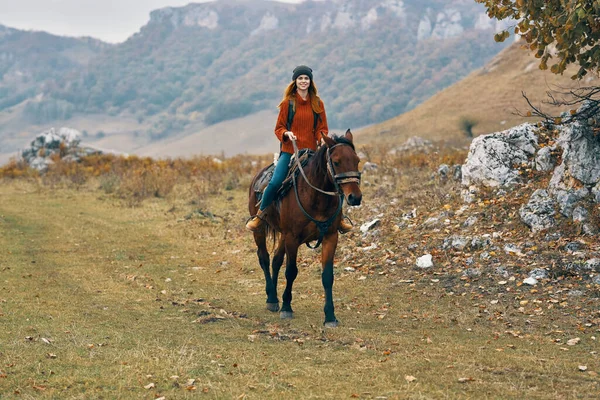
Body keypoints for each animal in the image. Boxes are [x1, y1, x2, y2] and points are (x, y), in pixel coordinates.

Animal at [247, 130, 360, 326]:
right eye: (336, 161)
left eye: (357, 160)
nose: (355, 197)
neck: (316, 196)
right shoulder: (293, 238)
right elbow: (291, 271)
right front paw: (287, 308)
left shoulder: (330, 237)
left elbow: (327, 276)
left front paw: (330, 316)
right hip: (261, 231)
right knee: (264, 258)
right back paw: (271, 298)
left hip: (283, 235)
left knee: (276, 260)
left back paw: (274, 297)